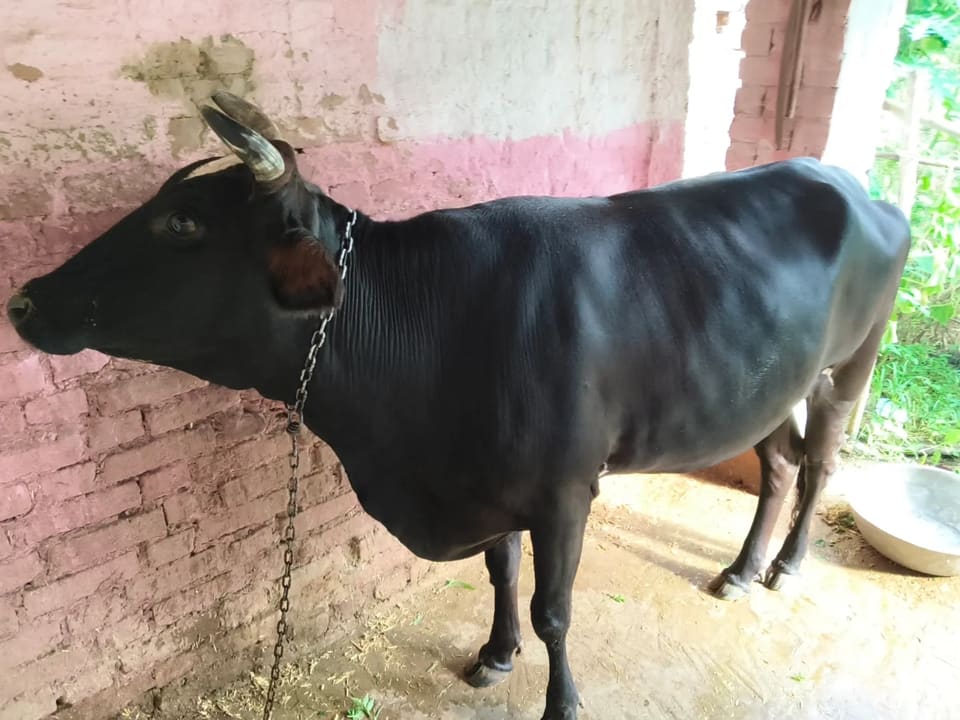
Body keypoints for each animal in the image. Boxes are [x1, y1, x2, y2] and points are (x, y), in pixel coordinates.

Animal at [5, 92, 910, 720]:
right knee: (780, 461)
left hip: (850, 367)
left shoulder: (565, 490)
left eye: (183, 224)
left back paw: (786, 567)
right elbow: (501, 571)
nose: (25, 299)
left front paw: (561, 701)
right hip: (771, 384)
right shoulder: (487, 483)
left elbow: (554, 609)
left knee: (821, 463)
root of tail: (853, 184)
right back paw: (743, 568)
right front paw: (494, 653)